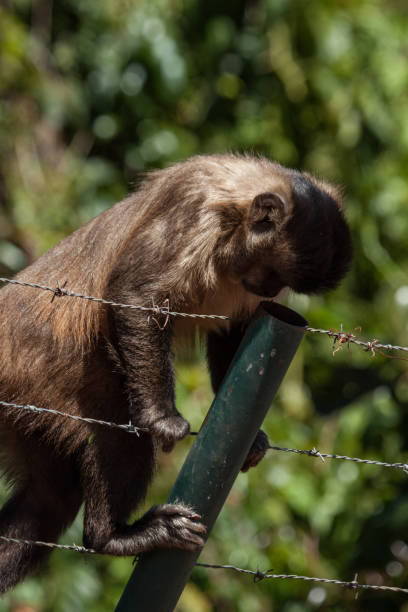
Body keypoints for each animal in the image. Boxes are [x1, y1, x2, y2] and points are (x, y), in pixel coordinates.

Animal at [0, 154, 352, 592]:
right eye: (272, 273)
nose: (269, 290)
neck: (237, 202)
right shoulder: (194, 206)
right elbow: (137, 297)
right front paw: (162, 419)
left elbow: (238, 330)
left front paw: (249, 436)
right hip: (42, 364)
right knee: (118, 430)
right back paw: (111, 537)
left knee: (51, 496)